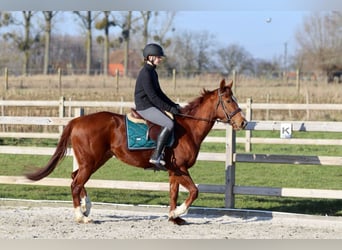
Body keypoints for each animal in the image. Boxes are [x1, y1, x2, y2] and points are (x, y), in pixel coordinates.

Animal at [26, 79, 246, 226]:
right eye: (228, 100)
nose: (242, 123)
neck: (188, 128)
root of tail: (77, 121)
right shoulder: (181, 168)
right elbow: (194, 191)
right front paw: (178, 213)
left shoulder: (174, 171)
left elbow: (174, 194)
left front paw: (174, 217)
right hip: (90, 162)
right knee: (76, 183)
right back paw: (81, 216)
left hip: (96, 160)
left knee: (75, 178)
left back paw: (85, 207)